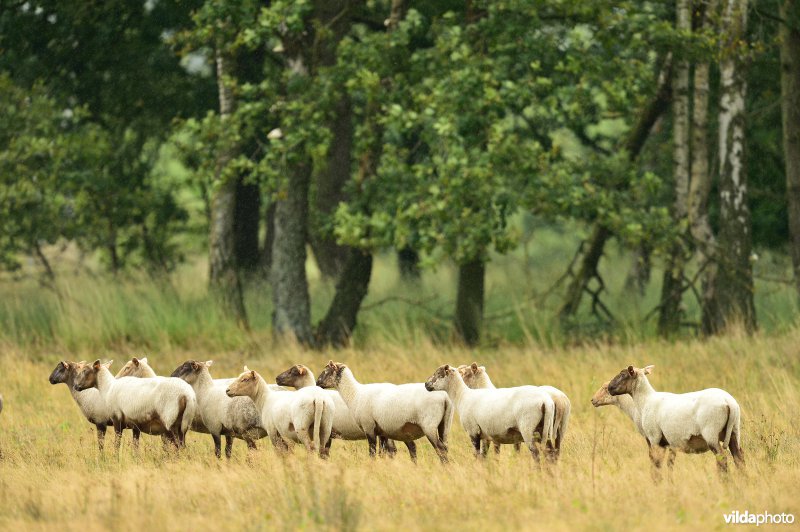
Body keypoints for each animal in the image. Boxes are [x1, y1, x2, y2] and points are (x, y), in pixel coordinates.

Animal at [422, 364, 552, 460]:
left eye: (439, 374)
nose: (426, 385)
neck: (462, 396)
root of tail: (545, 401)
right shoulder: (486, 435)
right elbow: (484, 456)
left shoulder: (473, 431)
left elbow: (477, 455)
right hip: (546, 429)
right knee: (550, 452)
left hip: (528, 429)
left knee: (535, 453)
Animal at [608, 364, 748, 476]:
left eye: (623, 375)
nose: (609, 387)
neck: (645, 401)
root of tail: (729, 402)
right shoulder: (666, 443)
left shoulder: (654, 437)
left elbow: (656, 464)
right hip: (734, 432)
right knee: (739, 458)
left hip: (711, 433)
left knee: (722, 458)